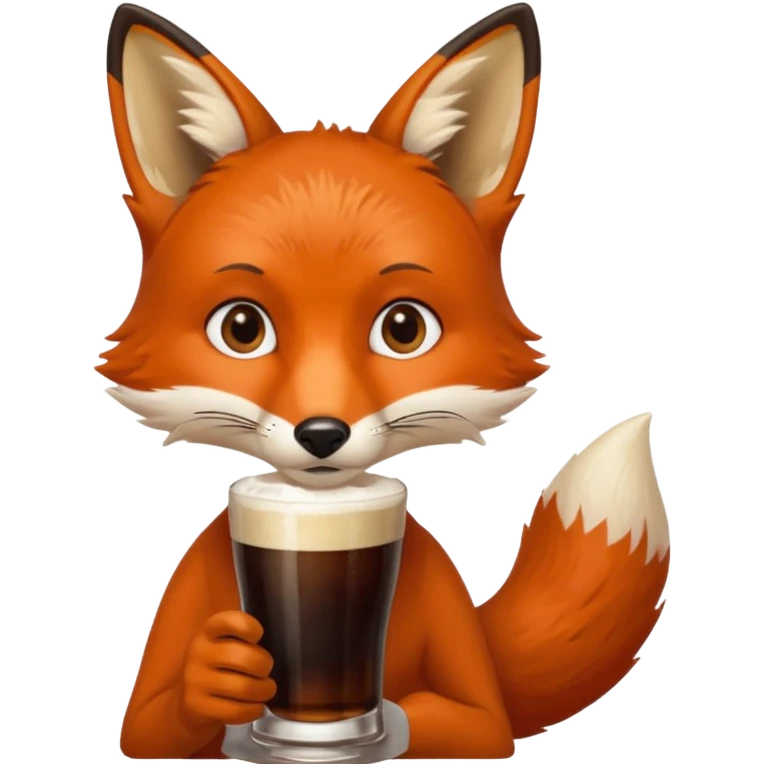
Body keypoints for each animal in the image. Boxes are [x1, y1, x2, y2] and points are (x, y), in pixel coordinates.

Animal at [101, 2, 671, 760]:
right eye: (242, 328)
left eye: (404, 328)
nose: (321, 433)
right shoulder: (188, 599)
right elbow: (151, 724)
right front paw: (220, 676)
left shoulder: (471, 702)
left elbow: (466, 721)